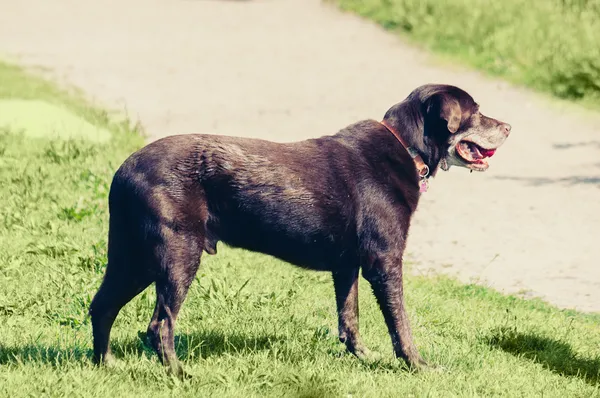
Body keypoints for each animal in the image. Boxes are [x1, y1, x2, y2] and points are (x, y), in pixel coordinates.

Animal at [89, 83, 510, 374]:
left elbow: (349, 318)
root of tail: (124, 170)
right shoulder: (385, 262)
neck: (406, 148)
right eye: (476, 112)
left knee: (102, 306)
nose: (508, 126)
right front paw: (418, 366)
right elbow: (400, 323)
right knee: (159, 324)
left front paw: (363, 357)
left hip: (135, 257)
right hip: (176, 254)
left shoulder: (347, 266)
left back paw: (106, 365)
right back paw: (179, 374)